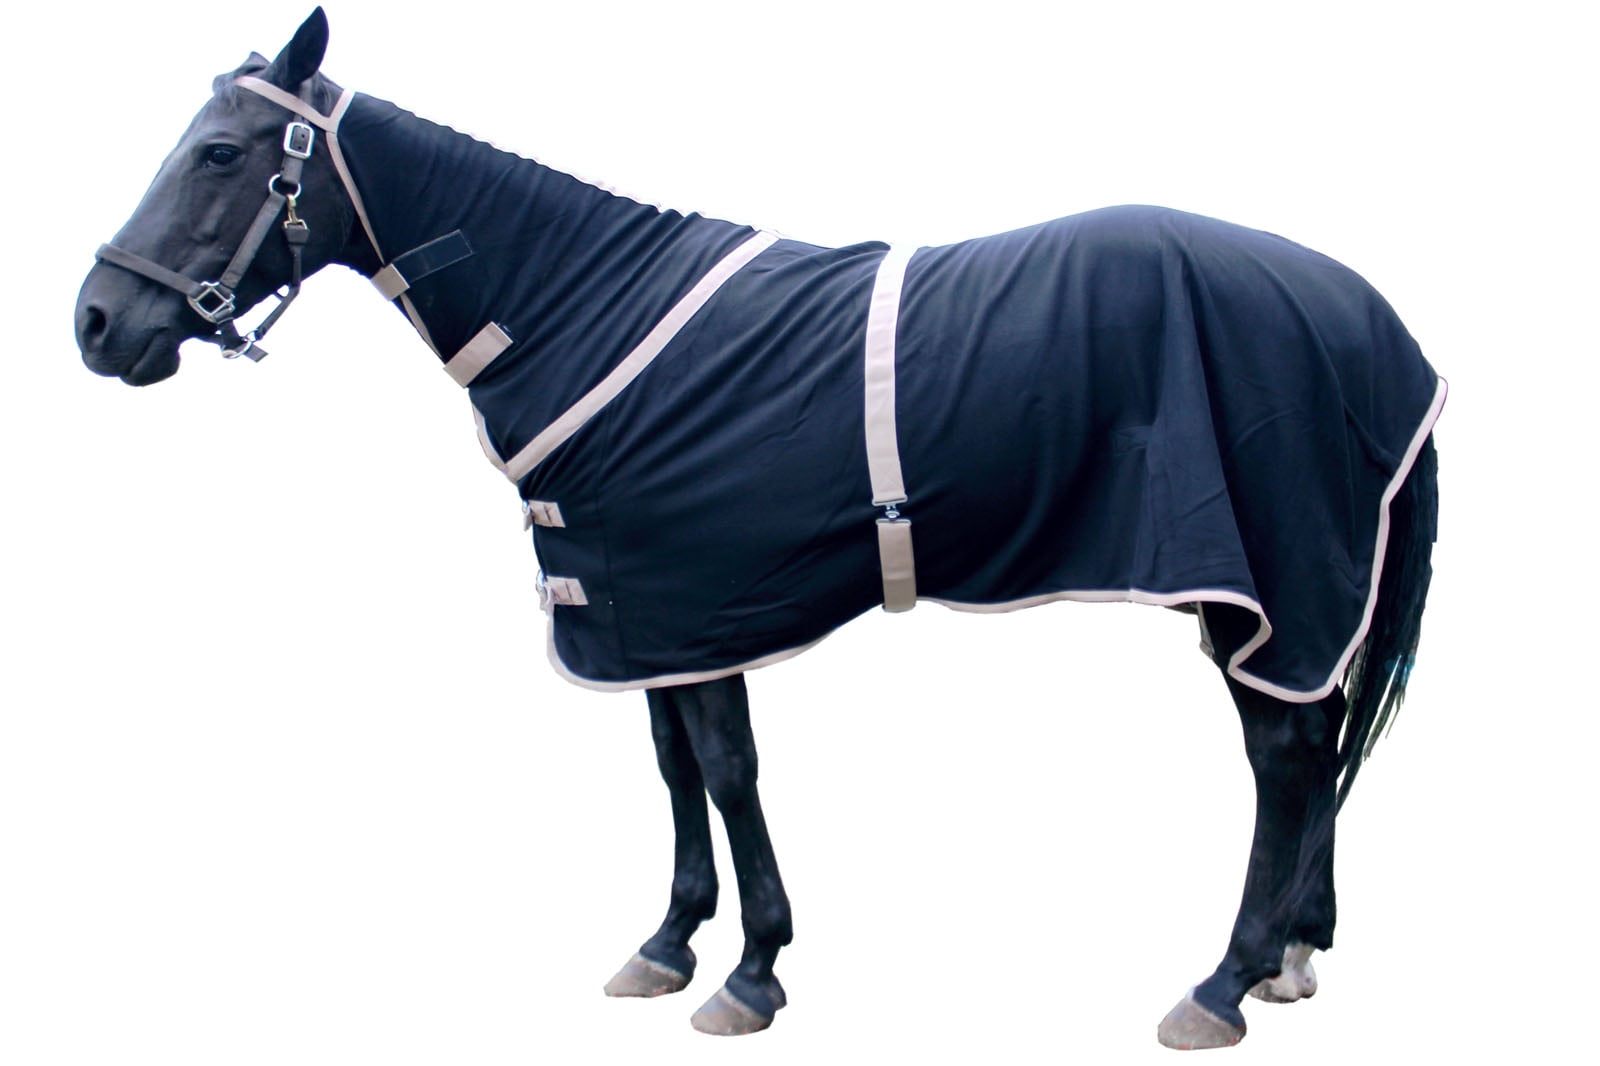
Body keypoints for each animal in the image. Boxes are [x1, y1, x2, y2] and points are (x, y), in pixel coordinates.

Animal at [73, 8, 1444, 1050]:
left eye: (219, 153)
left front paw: (752, 971)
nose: (95, 323)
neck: (574, 306)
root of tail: (1364, 314)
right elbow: (674, 766)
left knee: (1283, 756)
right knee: (1316, 742)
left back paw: (1223, 981)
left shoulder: (699, 599)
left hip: (1266, 585)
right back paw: (1293, 951)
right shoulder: (638, 608)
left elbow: (728, 770)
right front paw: (669, 941)